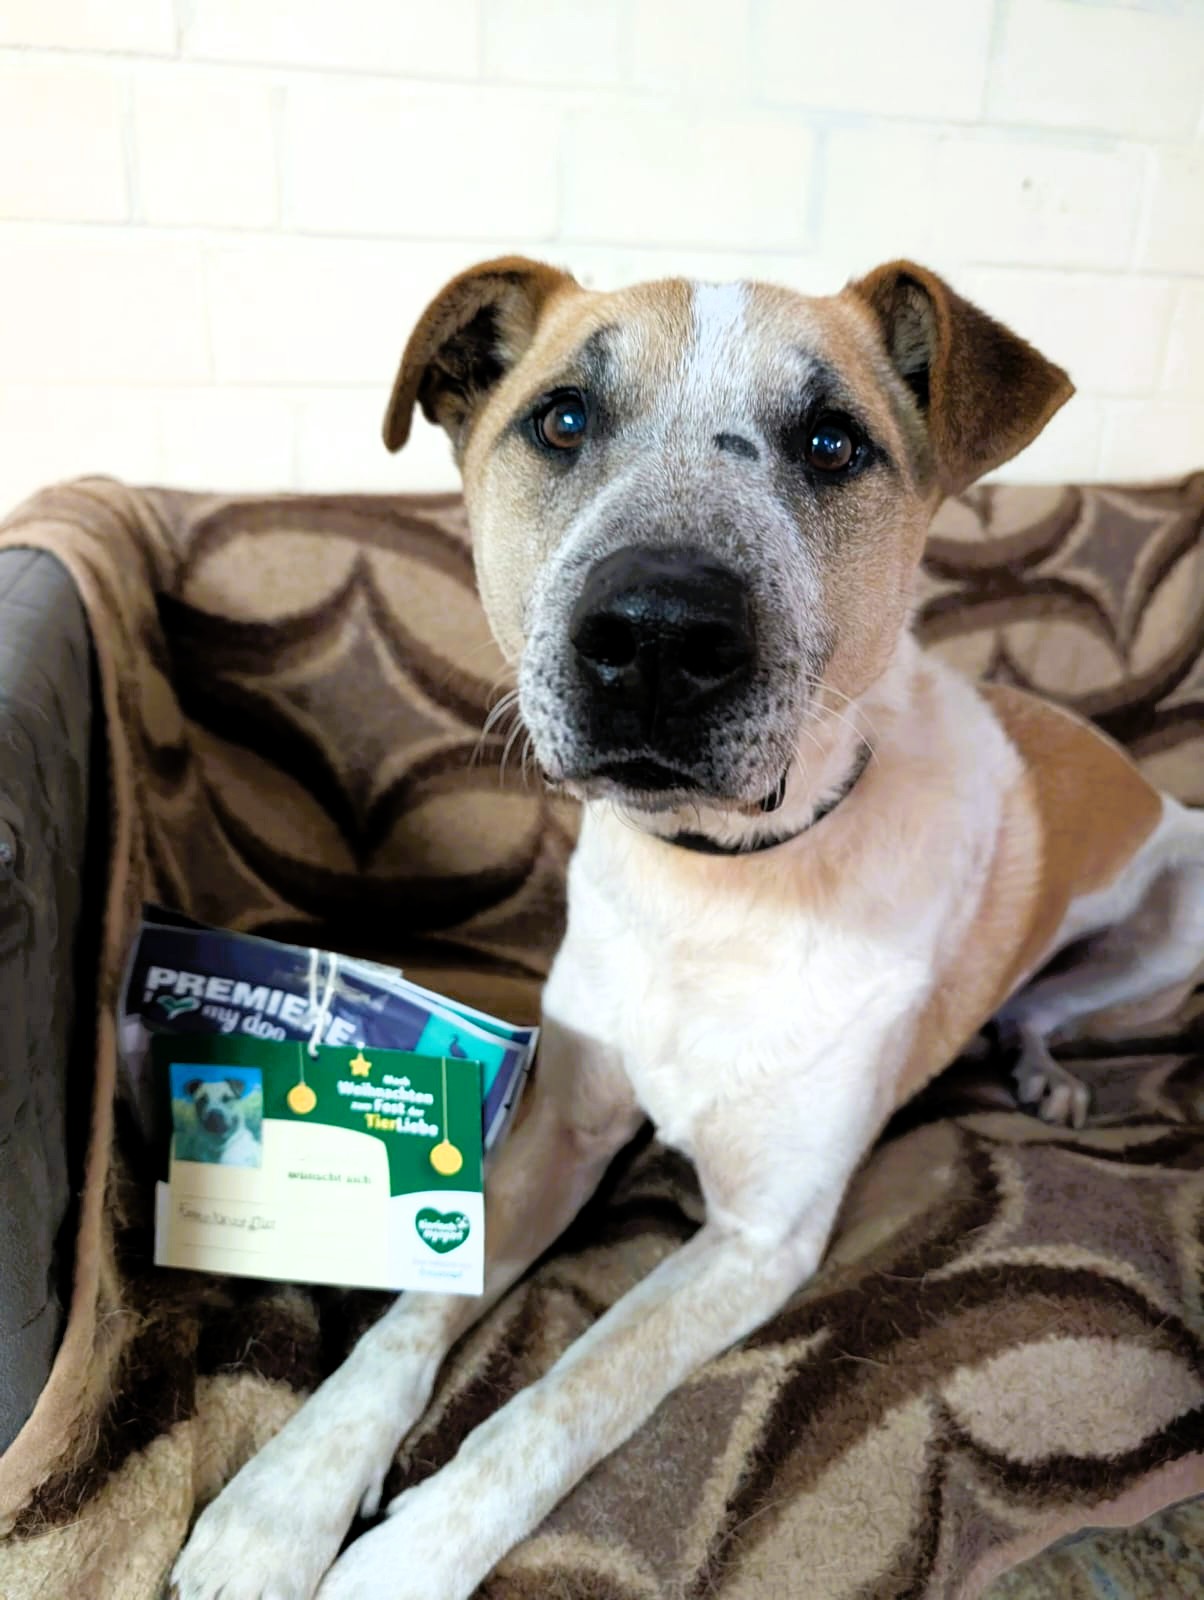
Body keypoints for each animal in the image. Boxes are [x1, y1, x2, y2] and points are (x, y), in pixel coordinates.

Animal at [171, 258, 1204, 1600]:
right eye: (562, 419)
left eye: (832, 442)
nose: (658, 633)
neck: (712, 885)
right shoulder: (556, 1129)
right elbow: (414, 1310)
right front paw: (281, 1500)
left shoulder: (760, 1239)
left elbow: (564, 1396)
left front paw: (402, 1561)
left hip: (1177, 914)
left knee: (1046, 1008)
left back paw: (1047, 1074)